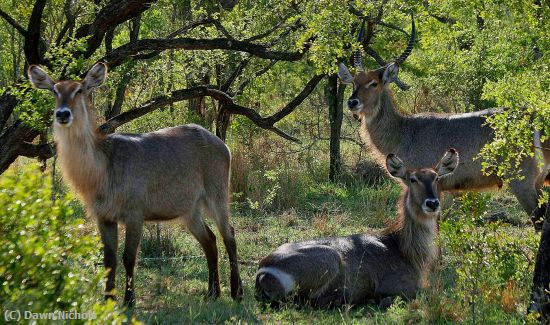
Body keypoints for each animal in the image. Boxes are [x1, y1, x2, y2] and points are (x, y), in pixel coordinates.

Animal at [28, 62, 244, 306]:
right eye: (55, 90)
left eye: (79, 90)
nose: (63, 114)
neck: (102, 167)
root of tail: (221, 143)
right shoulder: (104, 218)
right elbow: (109, 260)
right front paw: (108, 300)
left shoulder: (134, 214)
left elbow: (128, 257)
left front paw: (129, 300)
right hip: (190, 210)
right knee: (210, 241)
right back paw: (212, 293)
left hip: (217, 195)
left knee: (229, 236)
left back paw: (236, 292)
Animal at [258, 148, 462, 306]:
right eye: (412, 179)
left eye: (436, 178)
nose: (432, 203)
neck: (403, 247)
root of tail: (263, 271)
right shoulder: (402, 286)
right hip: (331, 258)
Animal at [340, 19, 550, 229]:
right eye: (354, 82)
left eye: (374, 83)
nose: (352, 102)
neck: (404, 131)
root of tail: (535, 116)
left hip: (523, 183)